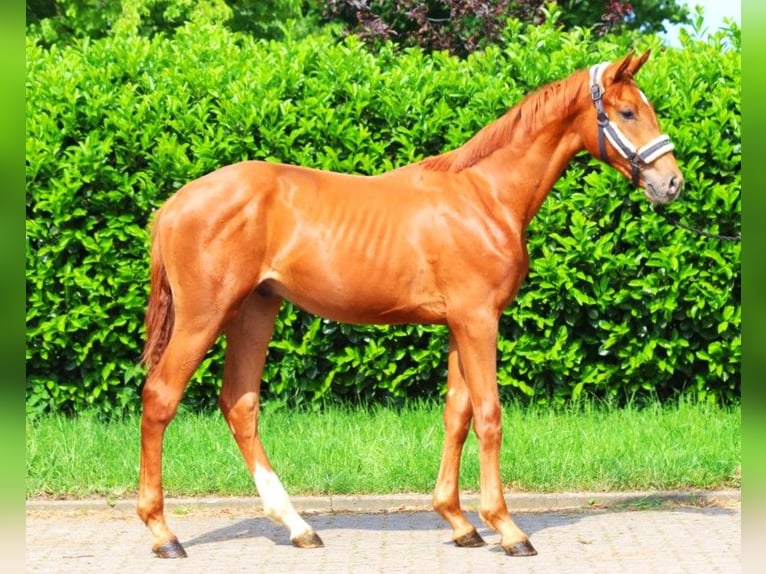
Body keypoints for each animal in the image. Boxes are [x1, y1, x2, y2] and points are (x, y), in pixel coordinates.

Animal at [136, 51, 684, 560]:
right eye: (628, 111)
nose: (672, 183)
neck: (486, 197)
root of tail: (173, 205)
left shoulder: (459, 324)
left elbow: (457, 414)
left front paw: (460, 523)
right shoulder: (478, 320)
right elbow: (489, 415)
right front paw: (506, 528)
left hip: (255, 310)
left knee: (240, 403)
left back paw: (298, 526)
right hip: (205, 316)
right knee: (160, 397)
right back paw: (164, 534)